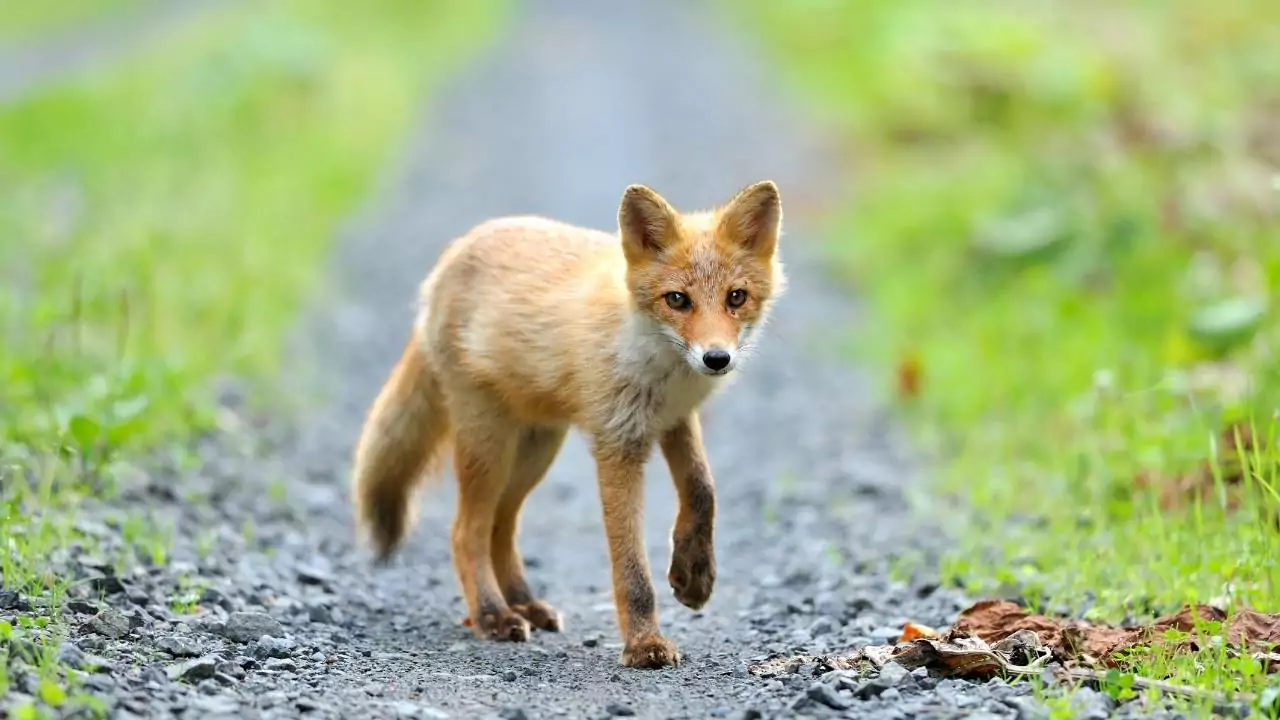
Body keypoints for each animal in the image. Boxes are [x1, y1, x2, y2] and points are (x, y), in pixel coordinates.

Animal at [350, 180, 786, 669]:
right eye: (677, 299)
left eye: (736, 297)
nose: (716, 359)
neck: (659, 366)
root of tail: (450, 258)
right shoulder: (618, 442)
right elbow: (631, 567)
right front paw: (644, 643)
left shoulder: (675, 418)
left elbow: (702, 490)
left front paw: (694, 576)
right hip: (489, 444)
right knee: (466, 532)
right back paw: (492, 614)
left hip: (535, 451)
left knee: (501, 527)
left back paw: (524, 603)